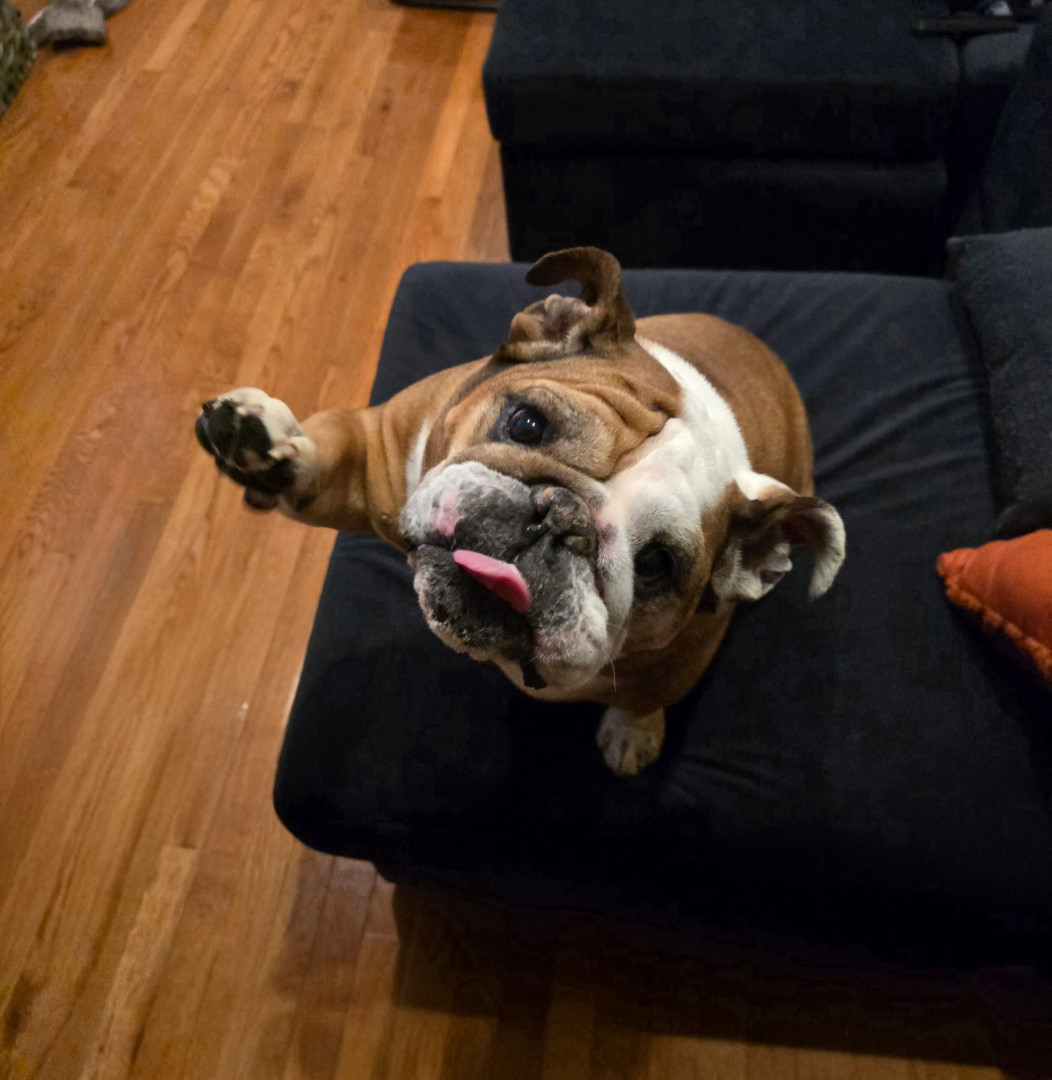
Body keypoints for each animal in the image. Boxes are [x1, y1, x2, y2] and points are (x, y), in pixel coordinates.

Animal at [195, 247, 845, 775]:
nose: (558, 515)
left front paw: (632, 732)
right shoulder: (378, 448)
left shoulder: (679, 661)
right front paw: (267, 448)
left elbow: (642, 698)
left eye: (657, 563)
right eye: (527, 423)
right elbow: (325, 457)